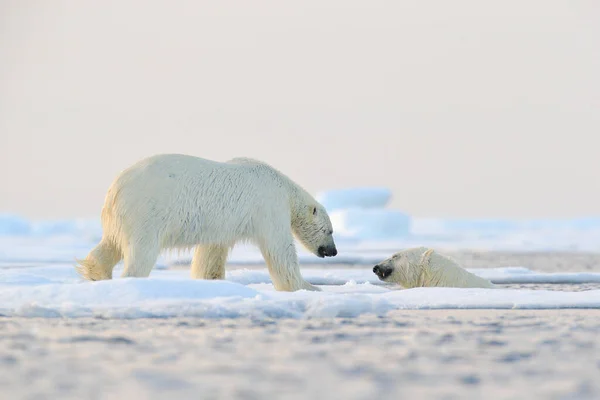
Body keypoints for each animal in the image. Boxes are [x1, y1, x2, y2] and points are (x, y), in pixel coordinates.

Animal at [75, 153, 338, 290]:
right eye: (330, 231)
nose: (333, 251)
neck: (283, 188)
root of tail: (116, 188)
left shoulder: (222, 225)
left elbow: (211, 252)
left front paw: (210, 280)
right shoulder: (269, 208)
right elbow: (280, 251)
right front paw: (308, 287)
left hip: (122, 217)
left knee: (110, 244)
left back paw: (96, 273)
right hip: (147, 212)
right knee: (141, 252)